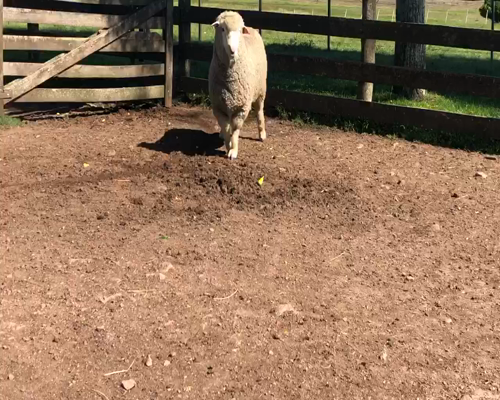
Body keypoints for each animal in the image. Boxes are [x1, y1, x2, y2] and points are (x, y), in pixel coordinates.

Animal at [208, 10, 268, 160]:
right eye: (222, 29)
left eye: (240, 31)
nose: (233, 49)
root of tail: (252, 28)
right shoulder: (218, 106)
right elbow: (225, 127)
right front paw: (227, 144)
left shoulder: (242, 107)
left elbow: (235, 129)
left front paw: (233, 151)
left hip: (260, 91)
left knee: (259, 112)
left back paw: (262, 134)